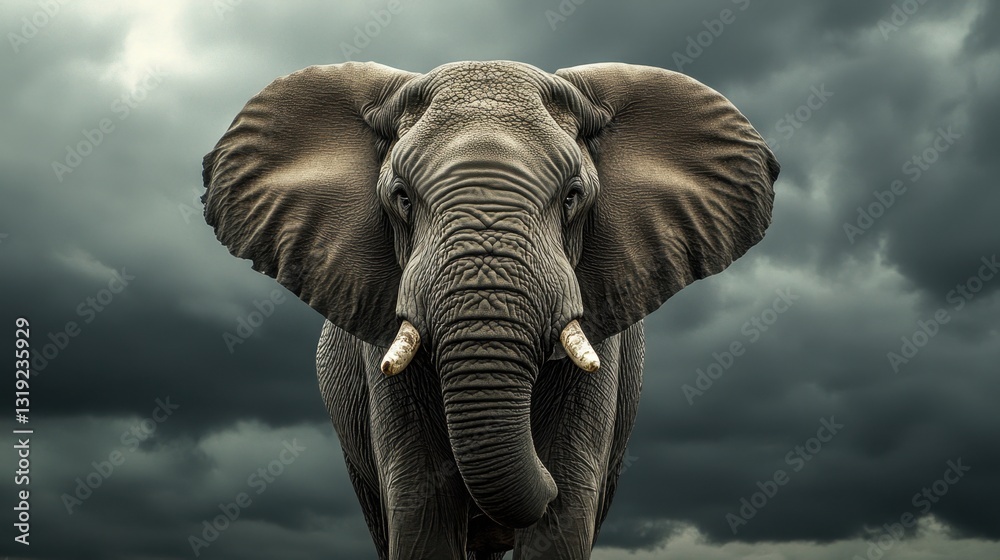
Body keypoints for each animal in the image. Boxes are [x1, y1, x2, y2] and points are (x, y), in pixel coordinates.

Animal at [201, 60, 778, 559]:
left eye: (572, 197)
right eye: (401, 198)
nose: (541, 482)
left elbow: (566, 513)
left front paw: (554, 490)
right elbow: (421, 508)